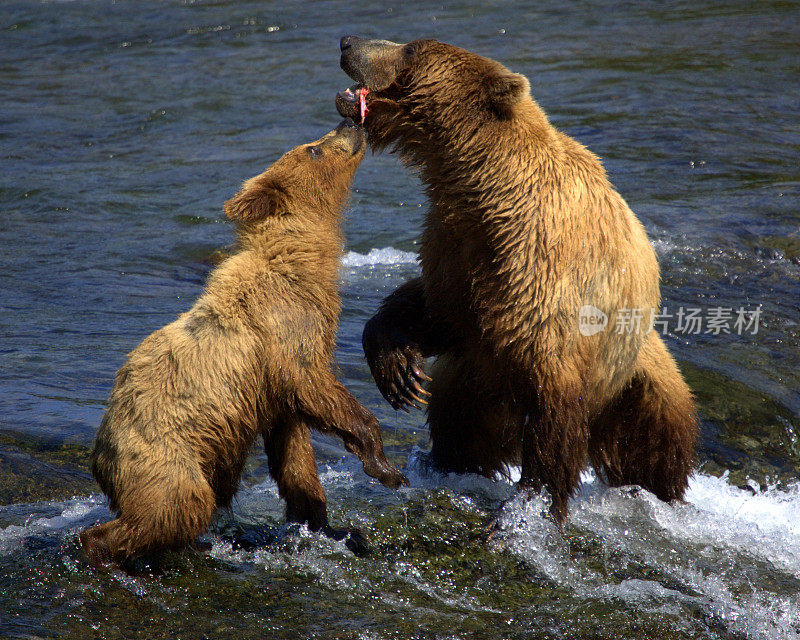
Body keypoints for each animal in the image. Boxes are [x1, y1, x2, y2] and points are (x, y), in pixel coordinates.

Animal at [81, 120, 406, 564]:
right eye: (312, 149)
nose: (350, 123)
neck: (299, 265)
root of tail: (99, 455)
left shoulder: (272, 390)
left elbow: (294, 453)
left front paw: (325, 523)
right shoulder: (283, 335)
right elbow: (317, 387)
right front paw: (386, 468)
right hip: (161, 454)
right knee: (176, 505)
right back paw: (107, 549)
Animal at [334, 37, 696, 520]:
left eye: (410, 50)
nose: (348, 42)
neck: (481, 187)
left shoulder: (539, 269)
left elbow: (553, 407)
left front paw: (529, 505)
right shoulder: (456, 250)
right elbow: (437, 309)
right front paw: (400, 374)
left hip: (639, 382)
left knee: (654, 450)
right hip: (471, 385)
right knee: (459, 428)